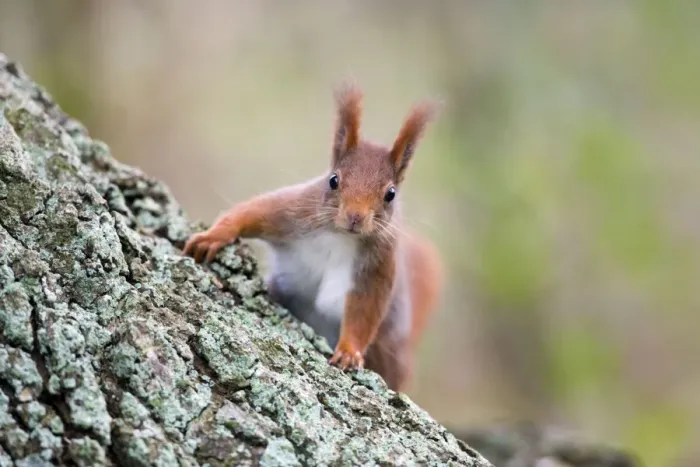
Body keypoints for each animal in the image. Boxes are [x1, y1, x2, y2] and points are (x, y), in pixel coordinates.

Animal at [183, 82, 443, 392]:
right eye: (333, 180)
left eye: (390, 194)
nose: (355, 217)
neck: (341, 236)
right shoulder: (293, 212)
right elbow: (252, 213)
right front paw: (213, 236)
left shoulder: (378, 265)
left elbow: (366, 311)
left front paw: (349, 351)